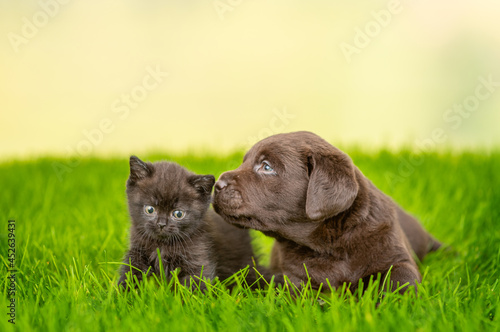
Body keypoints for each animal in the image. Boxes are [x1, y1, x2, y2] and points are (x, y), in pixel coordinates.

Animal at [117, 156, 258, 288]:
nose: (161, 224)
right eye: (150, 209)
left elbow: (194, 283)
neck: (162, 245)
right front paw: (123, 292)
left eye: (178, 214)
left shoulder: (198, 256)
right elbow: (131, 271)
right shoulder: (137, 250)